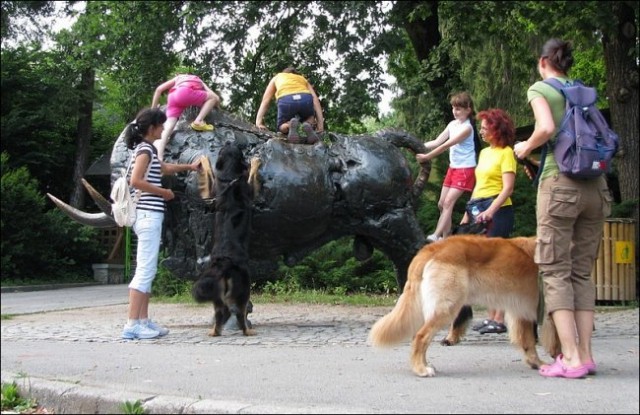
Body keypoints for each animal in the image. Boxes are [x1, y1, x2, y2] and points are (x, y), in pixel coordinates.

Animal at [192, 143, 255, 338]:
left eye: (225, 148)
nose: (228, 141)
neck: (229, 178)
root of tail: (224, 263)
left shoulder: (212, 193)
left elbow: (209, 174)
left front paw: (203, 159)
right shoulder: (250, 191)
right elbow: (252, 174)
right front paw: (256, 161)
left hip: (218, 295)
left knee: (222, 312)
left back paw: (214, 332)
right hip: (244, 288)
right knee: (239, 312)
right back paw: (247, 331)